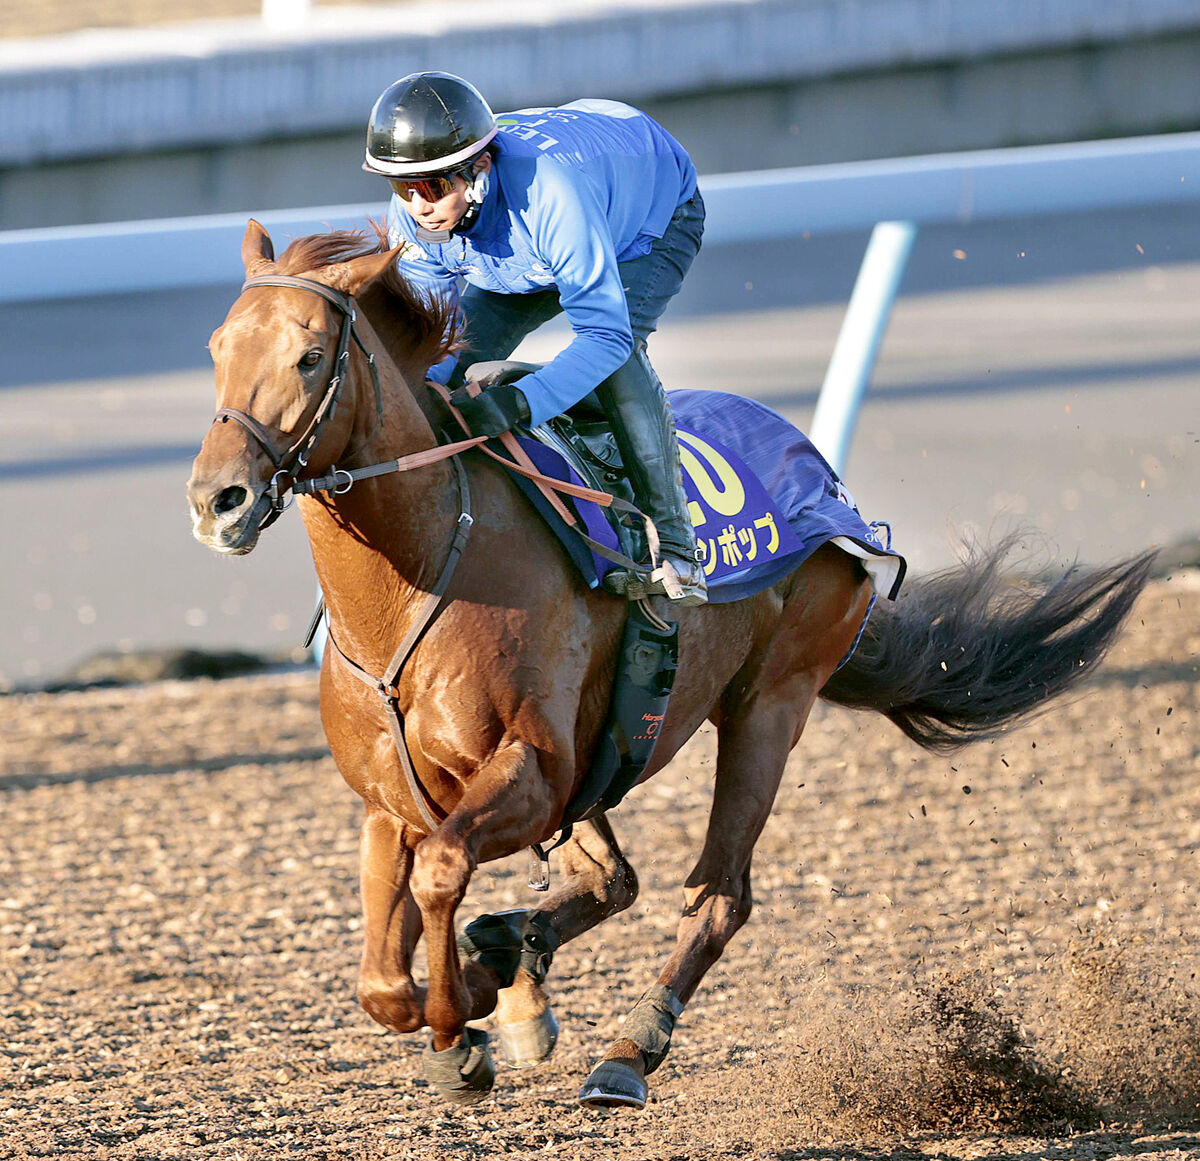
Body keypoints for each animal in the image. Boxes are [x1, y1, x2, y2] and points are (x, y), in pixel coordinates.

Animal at [187, 224, 1152, 1108]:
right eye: (217, 348)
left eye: (311, 355)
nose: (217, 499)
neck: (416, 578)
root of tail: (826, 480)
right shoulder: (393, 798)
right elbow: (382, 980)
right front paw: (479, 998)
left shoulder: (534, 769)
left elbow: (441, 875)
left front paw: (464, 1032)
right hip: (616, 751)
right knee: (614, 878)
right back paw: (515, 963)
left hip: (768, 706)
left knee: (717, 896)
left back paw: (626, 1049)